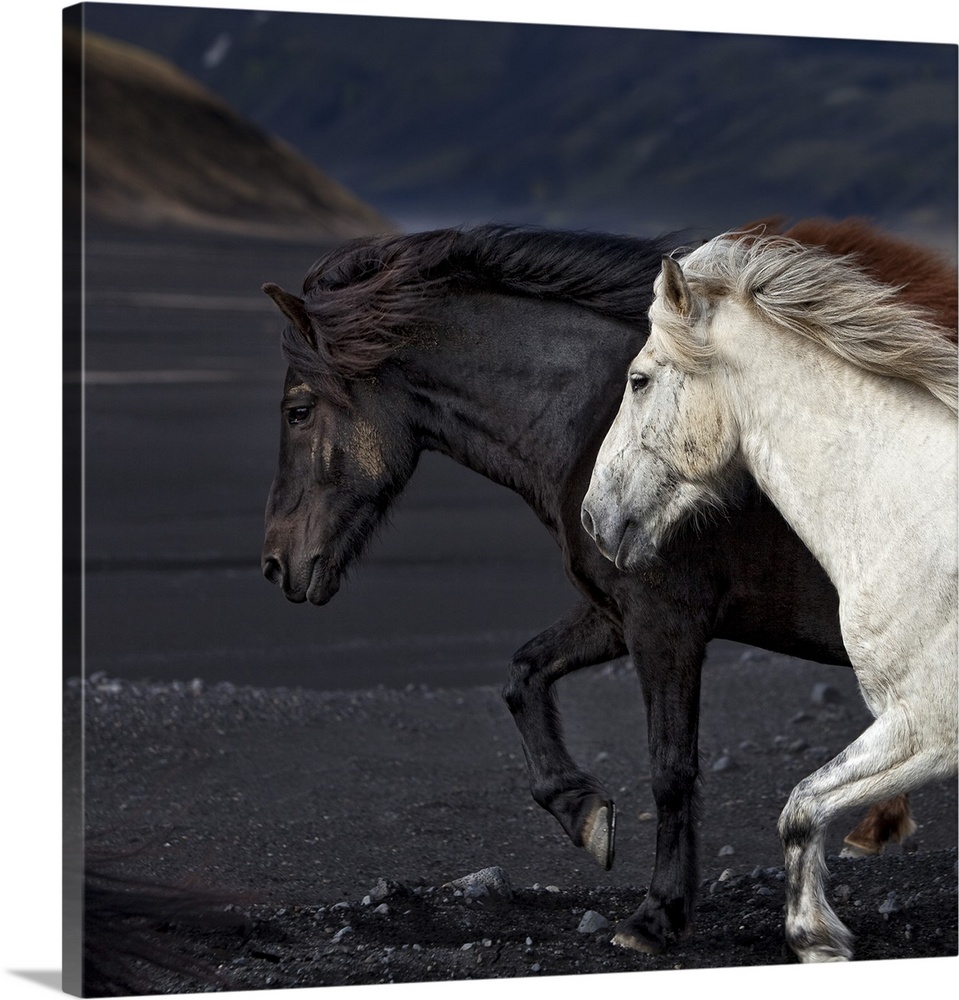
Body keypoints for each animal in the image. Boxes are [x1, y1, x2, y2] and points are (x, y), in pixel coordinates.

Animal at [258, 221, 920, 952]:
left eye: (297, 410)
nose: (276, 563)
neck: (589, 419)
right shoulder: (613, 614)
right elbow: (523, 675)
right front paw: (582, 813)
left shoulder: (663, 621)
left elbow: (670, 766)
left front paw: (657, 915)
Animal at [580, 234, 956, 960]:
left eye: (639, 380)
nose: (592, 516)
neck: (911, 510)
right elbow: (801, 807)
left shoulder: (928, 723)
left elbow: (800, 807)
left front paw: (815, 936)